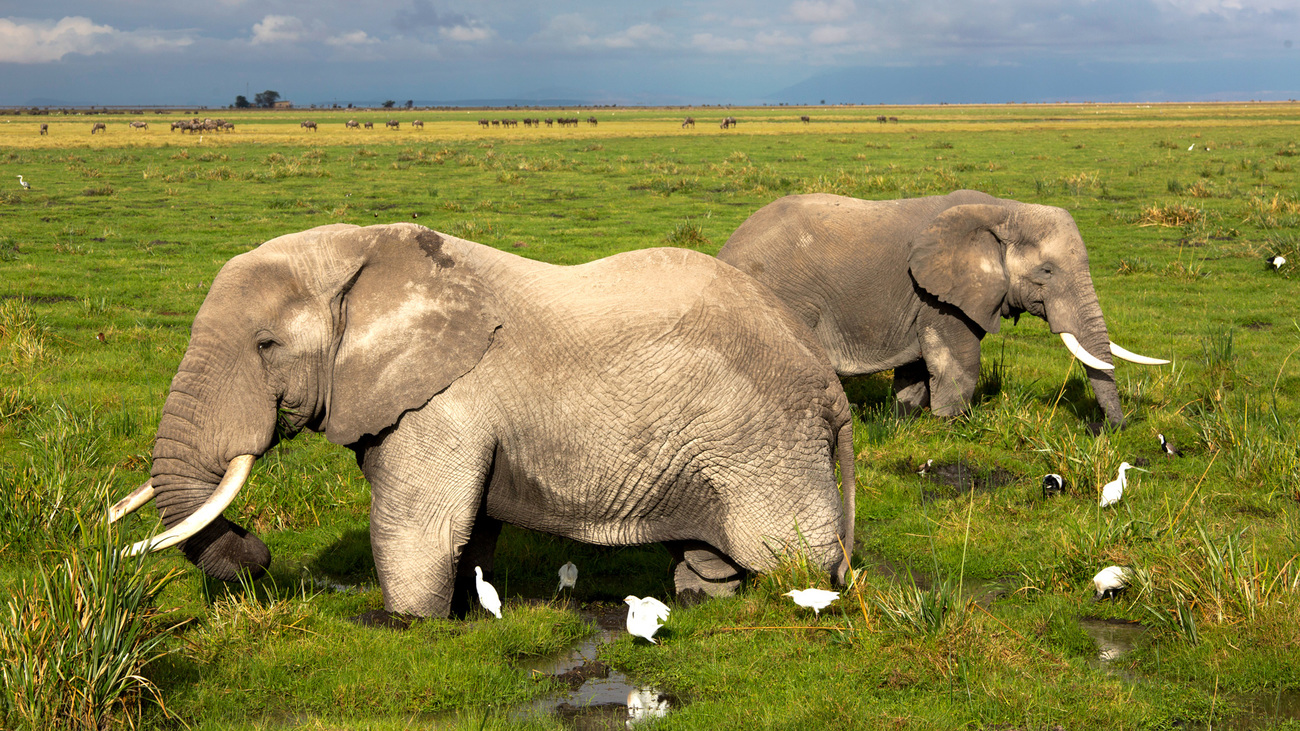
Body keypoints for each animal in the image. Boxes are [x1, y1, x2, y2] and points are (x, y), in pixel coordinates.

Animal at [116, 221, 857, 613]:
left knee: (788, 553)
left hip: (763, 441)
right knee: (709, 555)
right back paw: (704, 602)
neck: (357, 250)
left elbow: (416, 528)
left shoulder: (441, 403)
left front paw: (407, 625)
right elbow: (468, 531)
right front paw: (466, 612)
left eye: (266, 345)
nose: (259, 552)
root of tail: (831, 387)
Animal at [717, 188, 1175, 426]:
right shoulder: (939, 297)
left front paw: (903, 421)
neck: (1003, 210)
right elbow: (959, 357)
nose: (1114, 431)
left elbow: (916, 365)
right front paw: (949, 426)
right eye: (1046, 271)